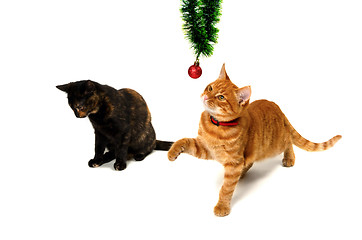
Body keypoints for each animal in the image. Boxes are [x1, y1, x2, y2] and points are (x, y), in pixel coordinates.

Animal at [168, 63, 340, 218]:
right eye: (210, 88)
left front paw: (222, 206)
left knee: (288, 141)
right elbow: (184, 141)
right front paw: (173, 151)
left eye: (221, 97)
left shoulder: (233, 162)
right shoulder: (205, 148)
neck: (216, 125)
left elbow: (226, 189)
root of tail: (277, 107)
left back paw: (289, 158)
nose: (205, 96)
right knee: (250, 160)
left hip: (274, 145)